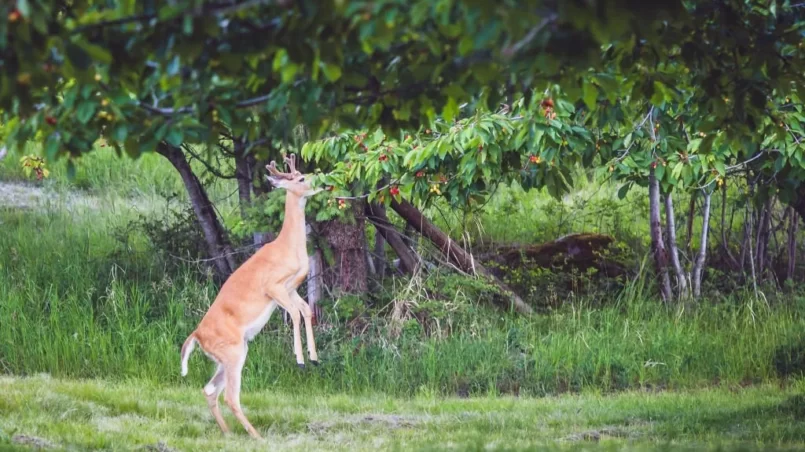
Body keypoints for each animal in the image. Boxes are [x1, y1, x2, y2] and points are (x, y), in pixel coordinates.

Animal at [179, 154, 320, 438]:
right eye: (301, 178)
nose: (319, 179)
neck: (288, 247)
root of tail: (197, 335)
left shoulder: (291, 288)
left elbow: (306, 310)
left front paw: (314, 357)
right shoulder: (273, 287)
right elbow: (296, 314)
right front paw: (300, 360)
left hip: (231, 354)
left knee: (209, 390)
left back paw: (229, 433)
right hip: (233, 352)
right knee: (230, 396)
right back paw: (256, 436)